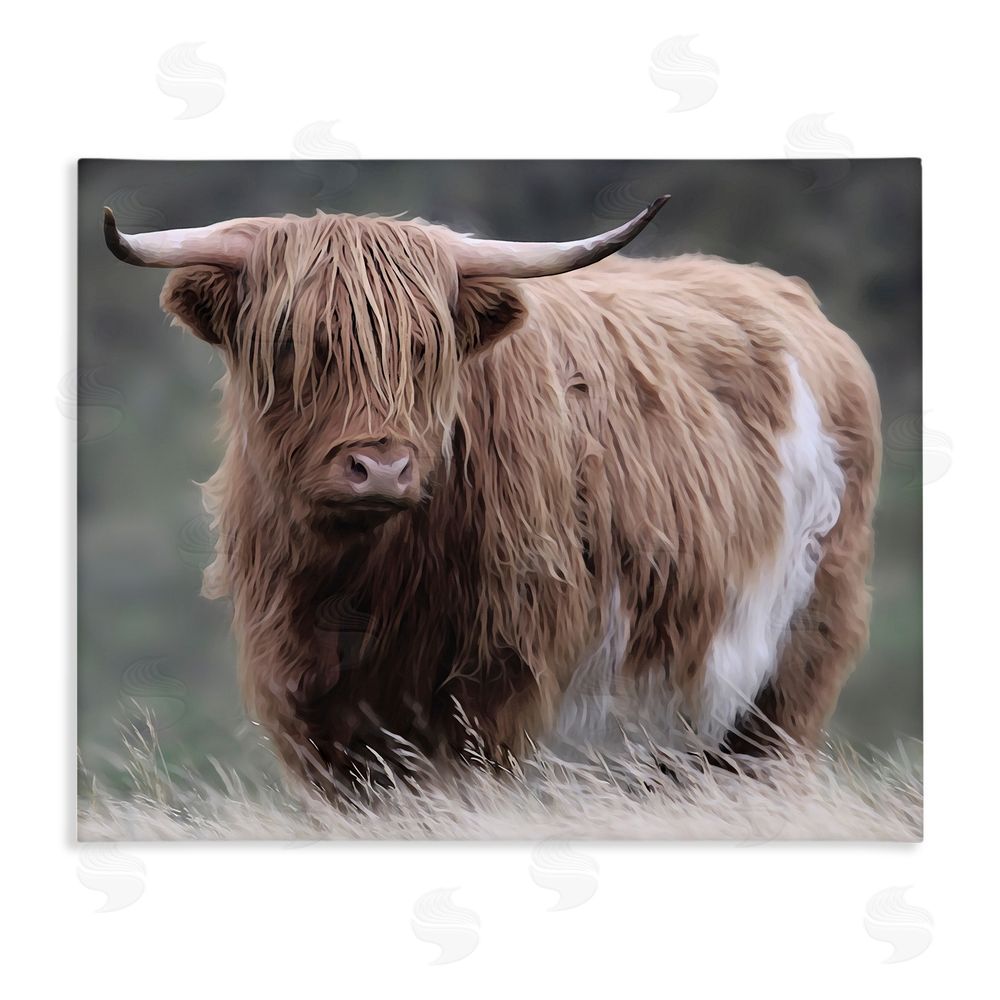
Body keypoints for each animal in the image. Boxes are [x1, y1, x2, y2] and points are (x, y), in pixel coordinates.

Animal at [103, 196, 881, 794]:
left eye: (425, 349)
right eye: (295, 345)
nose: (380, 468)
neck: (361, 585)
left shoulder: (494, 696)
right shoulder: (314, 712)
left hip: (787, 674)